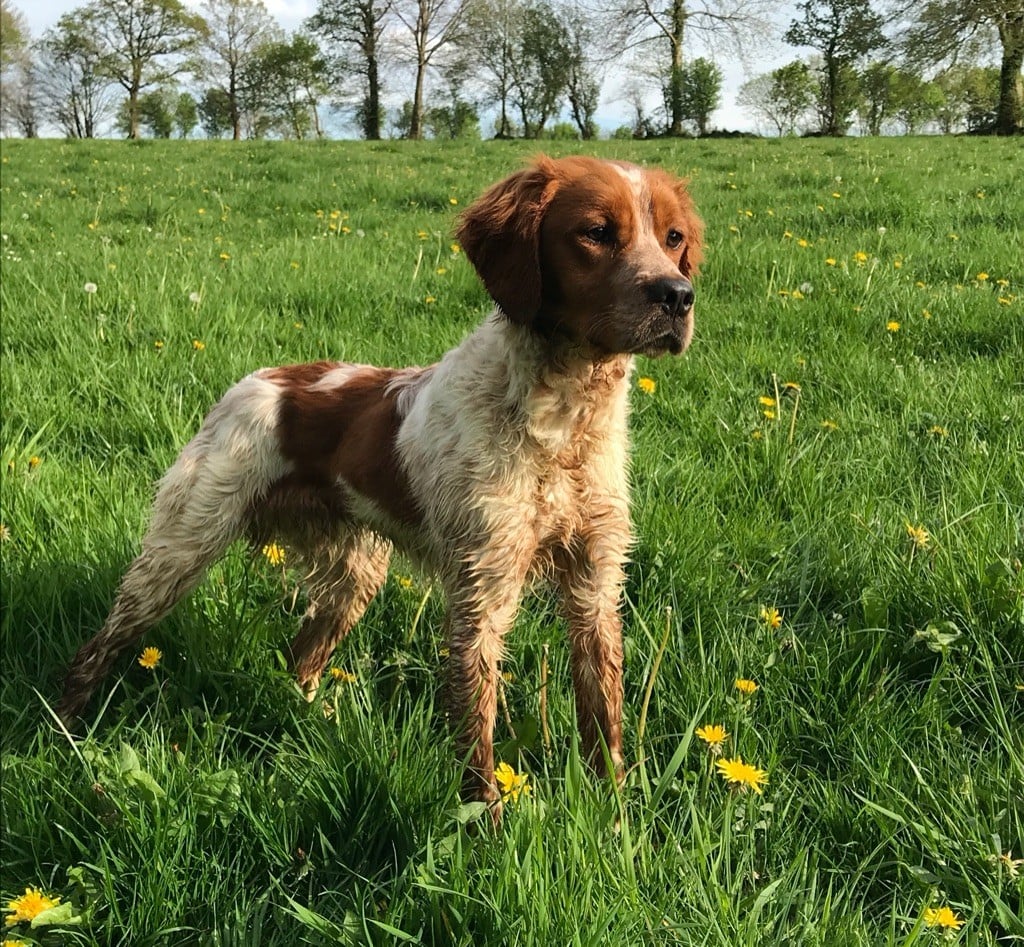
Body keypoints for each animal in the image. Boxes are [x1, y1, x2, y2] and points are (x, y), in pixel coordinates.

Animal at [58, 155, 704, 814]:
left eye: (673, 238)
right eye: (596, 232)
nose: (678, 296)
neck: (564, 422)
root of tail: (258, 378)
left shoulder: (595, 581)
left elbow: (604, 717)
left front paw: (615, 812)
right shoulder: (482, 588)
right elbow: (478, 741)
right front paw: (487, 824)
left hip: (354, 574)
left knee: (301, 659)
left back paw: (314, 724)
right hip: (179, 550)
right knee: (97, 647)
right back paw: (66, 732)